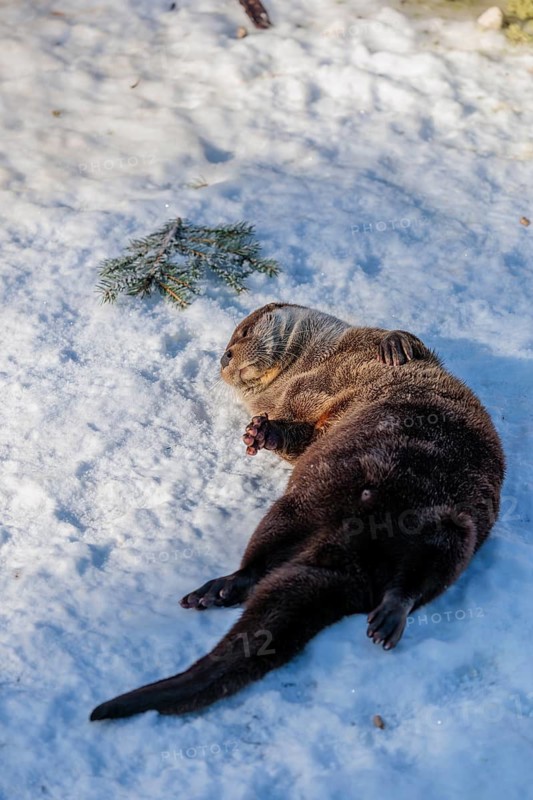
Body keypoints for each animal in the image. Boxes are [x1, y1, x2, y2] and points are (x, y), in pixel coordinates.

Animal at [90, 303, 504, 721]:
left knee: (426, 572)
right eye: (226, 347)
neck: (310, 365)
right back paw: (222, 588)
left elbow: (409, 342)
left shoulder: (366, 340)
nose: (224, 358)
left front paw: (395, 344)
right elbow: (298, 438)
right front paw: (260, 434)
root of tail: (353, 551)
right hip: (307, 502)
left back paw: (385, 616)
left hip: (450, 522)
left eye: (241, 334)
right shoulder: (288, 411)